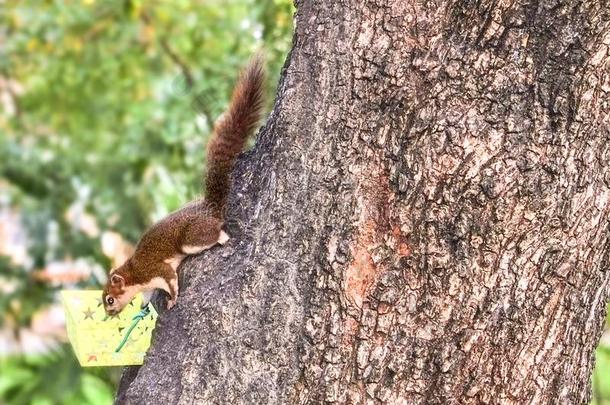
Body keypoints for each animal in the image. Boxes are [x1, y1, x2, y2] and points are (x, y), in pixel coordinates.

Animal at [102, 56, 264, 316]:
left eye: (109, 299)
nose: (109, 316)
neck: (134, 273)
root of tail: (209, 208)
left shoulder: (155, 270)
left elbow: (170, 281)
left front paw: (172, 300)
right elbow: (147, 296)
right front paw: (144, 307)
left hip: (191, 239)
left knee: (213, 234)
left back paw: (221, 237)